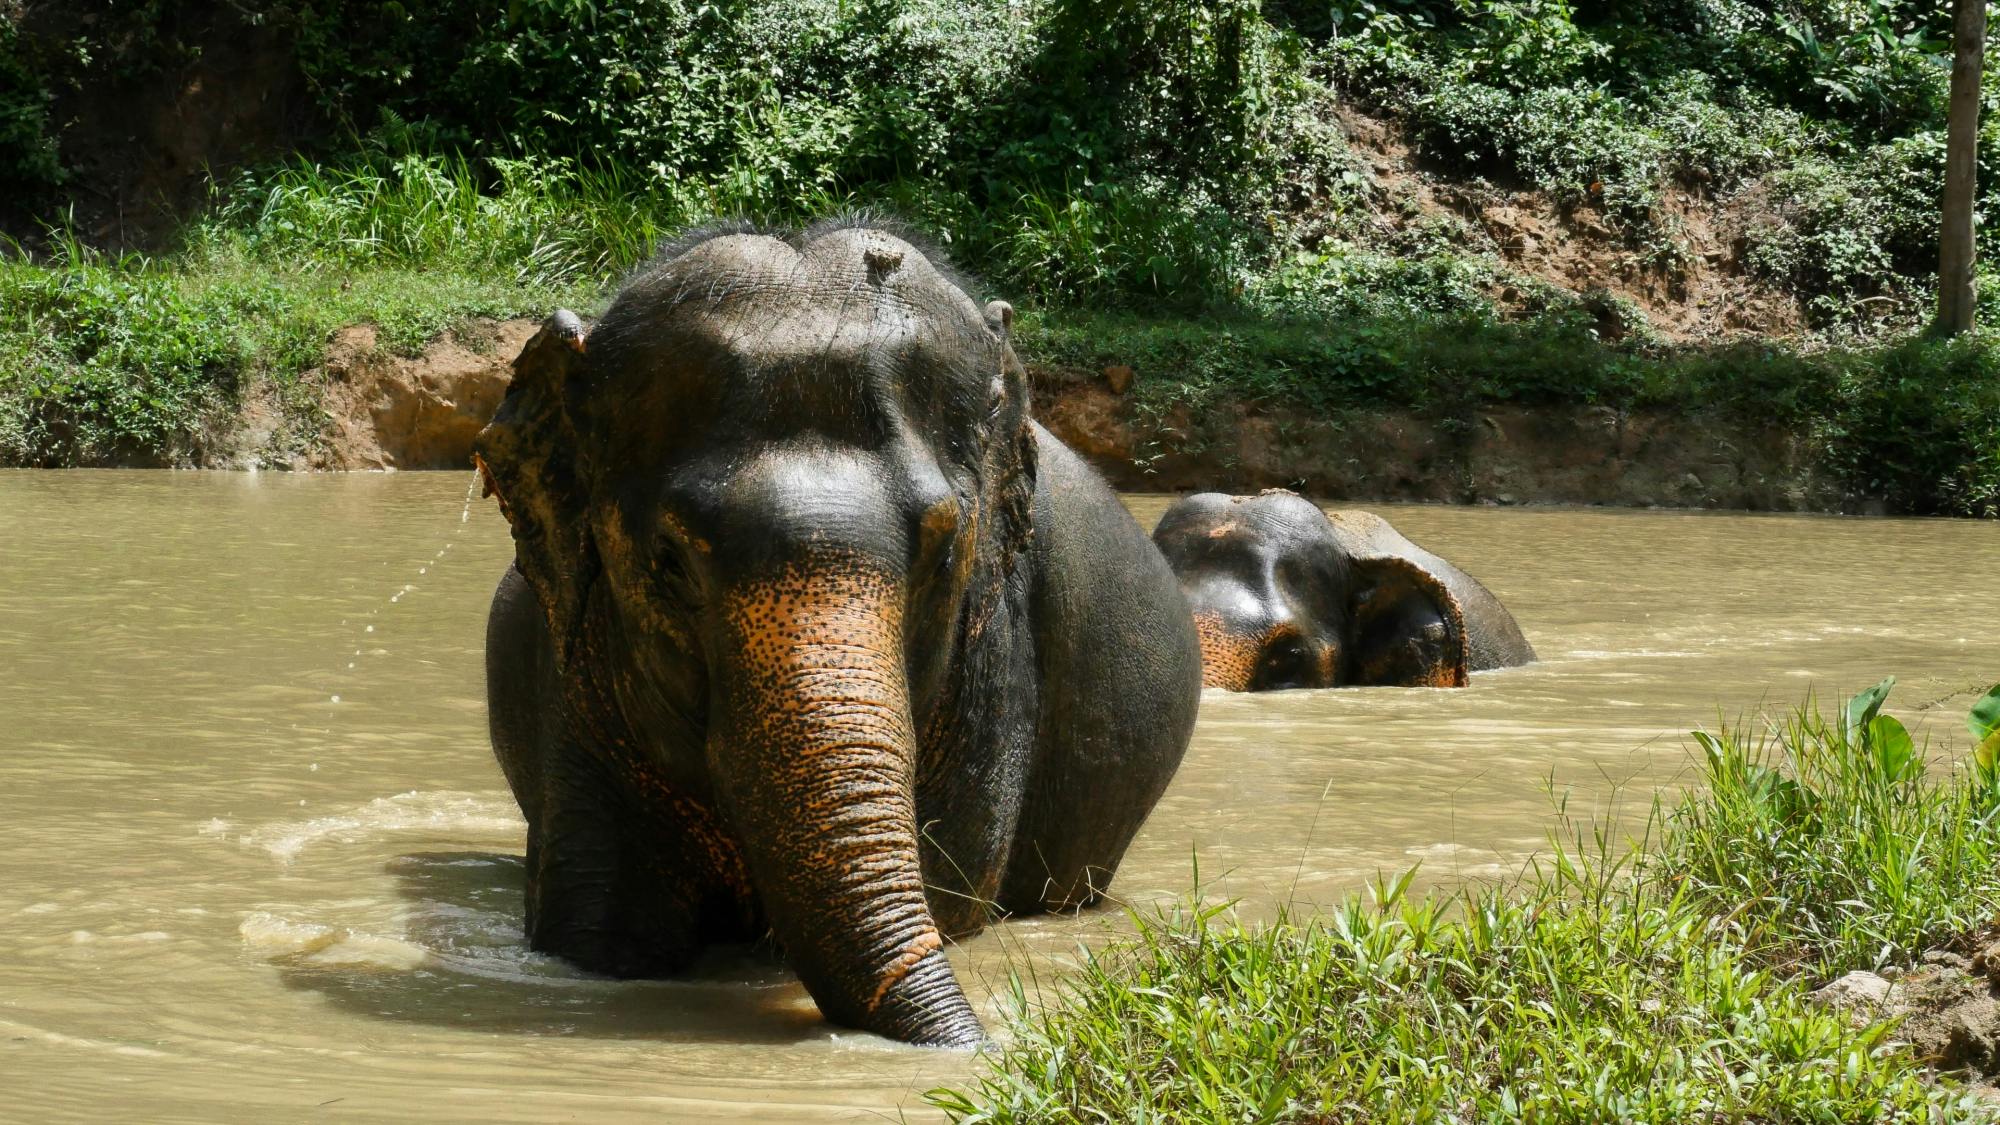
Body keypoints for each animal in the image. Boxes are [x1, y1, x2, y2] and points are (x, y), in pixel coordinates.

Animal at [472, 220, 1202, 1047]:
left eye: (944, 552)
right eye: (670, 562)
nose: (984, 1042)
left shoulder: (994, 667)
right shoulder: (578, 675)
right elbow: (597, 930)